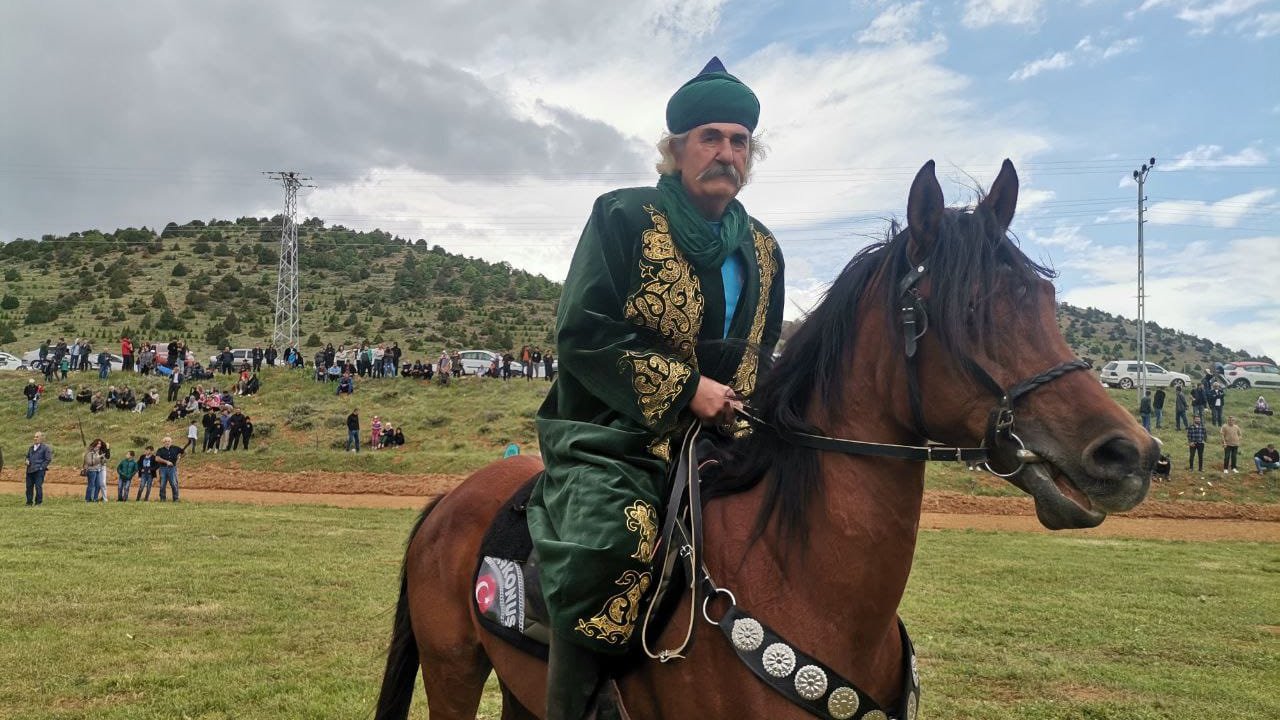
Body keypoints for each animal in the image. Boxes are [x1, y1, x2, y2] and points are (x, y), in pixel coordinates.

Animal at [373, 158, 1157, 717]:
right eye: (968, 311)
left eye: (1047, 298)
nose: (1130, 455)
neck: (803, 577)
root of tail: (450, 499)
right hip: (453, 671)